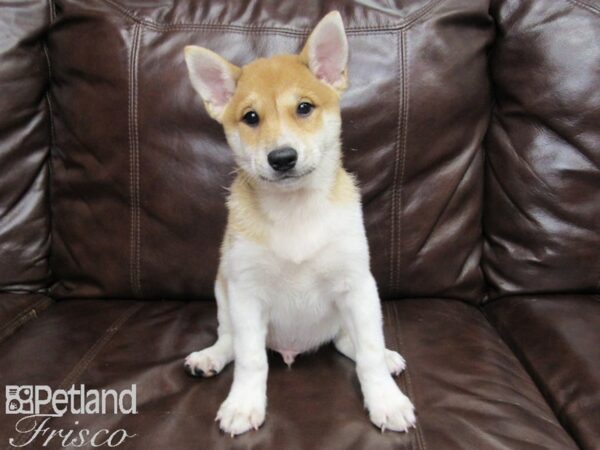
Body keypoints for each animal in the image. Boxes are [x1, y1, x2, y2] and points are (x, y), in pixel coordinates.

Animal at [184, 12, 418, 436]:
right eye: (251, 117)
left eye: (304, 108)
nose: (282, 158)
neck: (295, 212)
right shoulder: (246, 293)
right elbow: (251, 358)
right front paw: (244, 404)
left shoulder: (357, 286)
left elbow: (369, 352)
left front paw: (386, 400)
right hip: (223, 290)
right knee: (229, 339)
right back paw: (210, 357)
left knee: (348, 341)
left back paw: (387, 357)